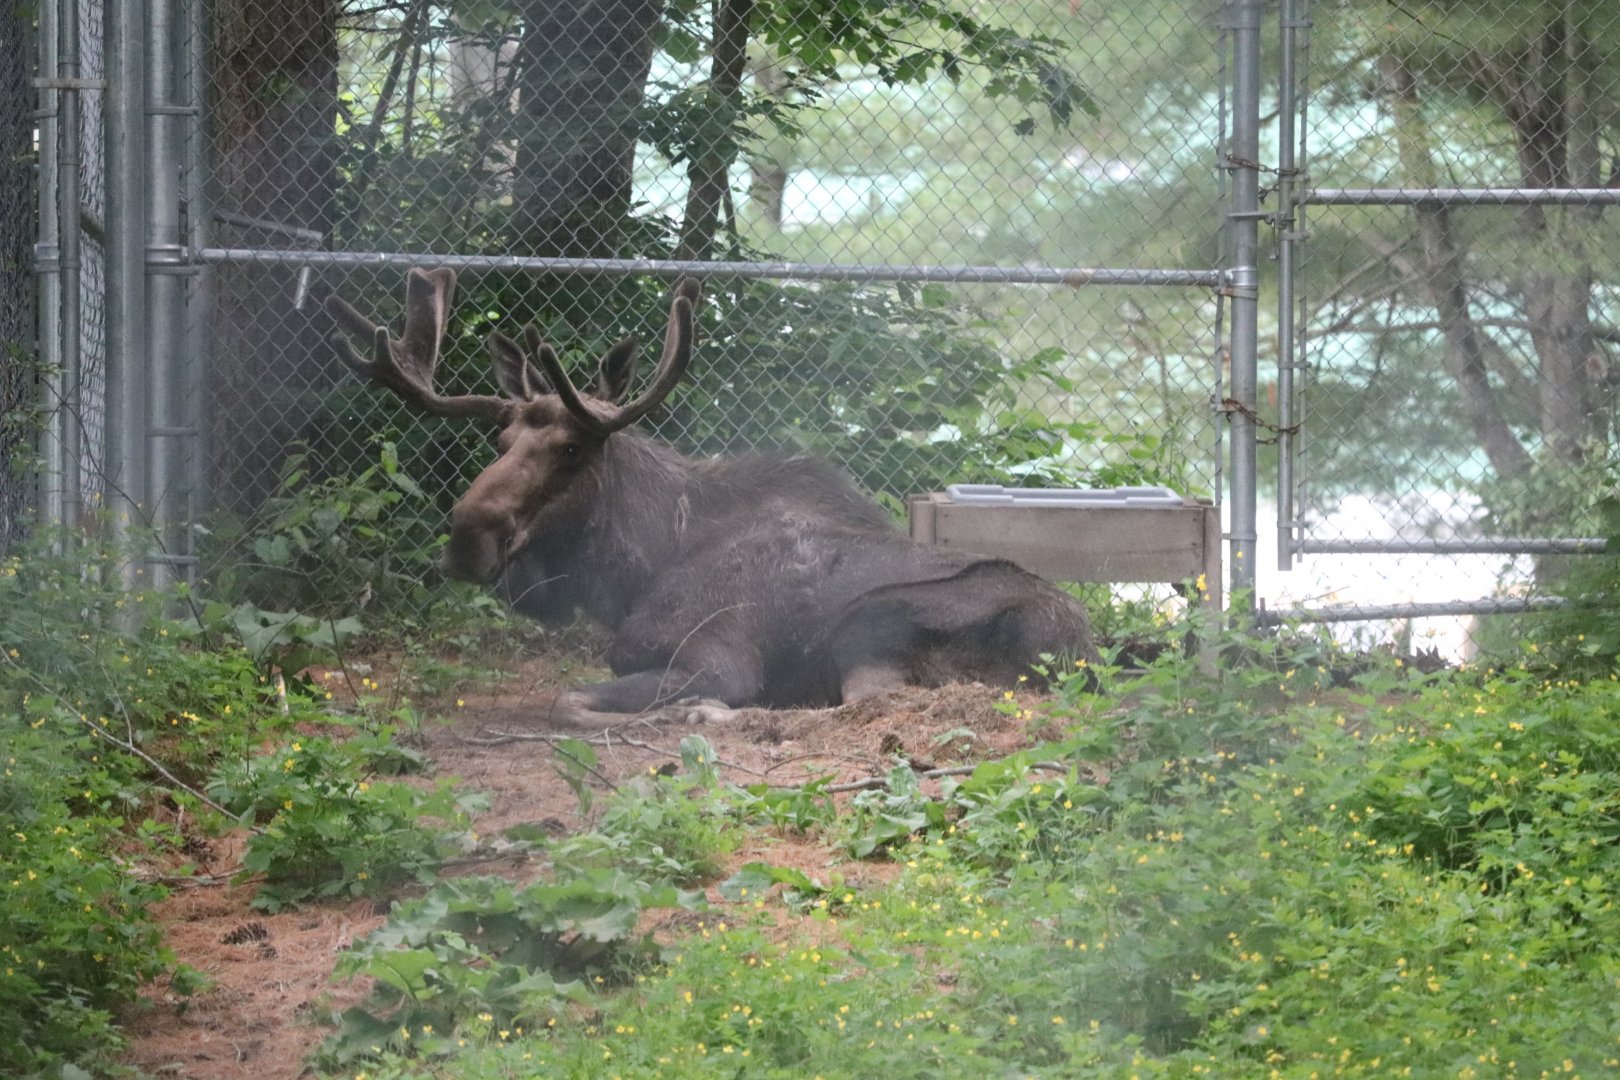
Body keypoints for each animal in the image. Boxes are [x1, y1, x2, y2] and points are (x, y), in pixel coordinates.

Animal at [327, 268, 1097, 725]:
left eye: (573, 449)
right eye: (500, 437)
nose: (468, 537)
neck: (633, 570)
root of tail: (1084, 650)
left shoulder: (716, 659)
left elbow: (568, 700)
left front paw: (688, 711)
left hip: (870, 622)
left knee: (857, 706)